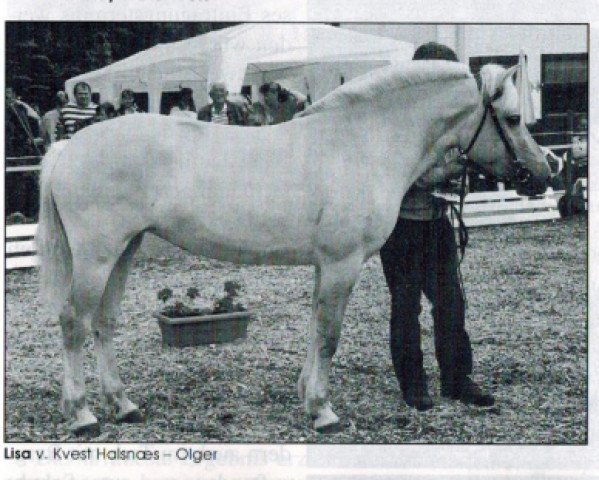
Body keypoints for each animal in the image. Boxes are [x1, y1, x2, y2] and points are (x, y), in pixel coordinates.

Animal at [37, 61, 552, 436]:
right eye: (511, 119)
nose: (544, 172)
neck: (363, 143)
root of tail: (68, 148)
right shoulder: (343, 262)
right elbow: (329, 335)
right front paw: (324, 412)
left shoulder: (327, 264)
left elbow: (314, 328)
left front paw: (307, 395)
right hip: (97, 255)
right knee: (73, 323)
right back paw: (82, 415)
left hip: (124, 250)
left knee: (104, 323)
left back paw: (124, 405)